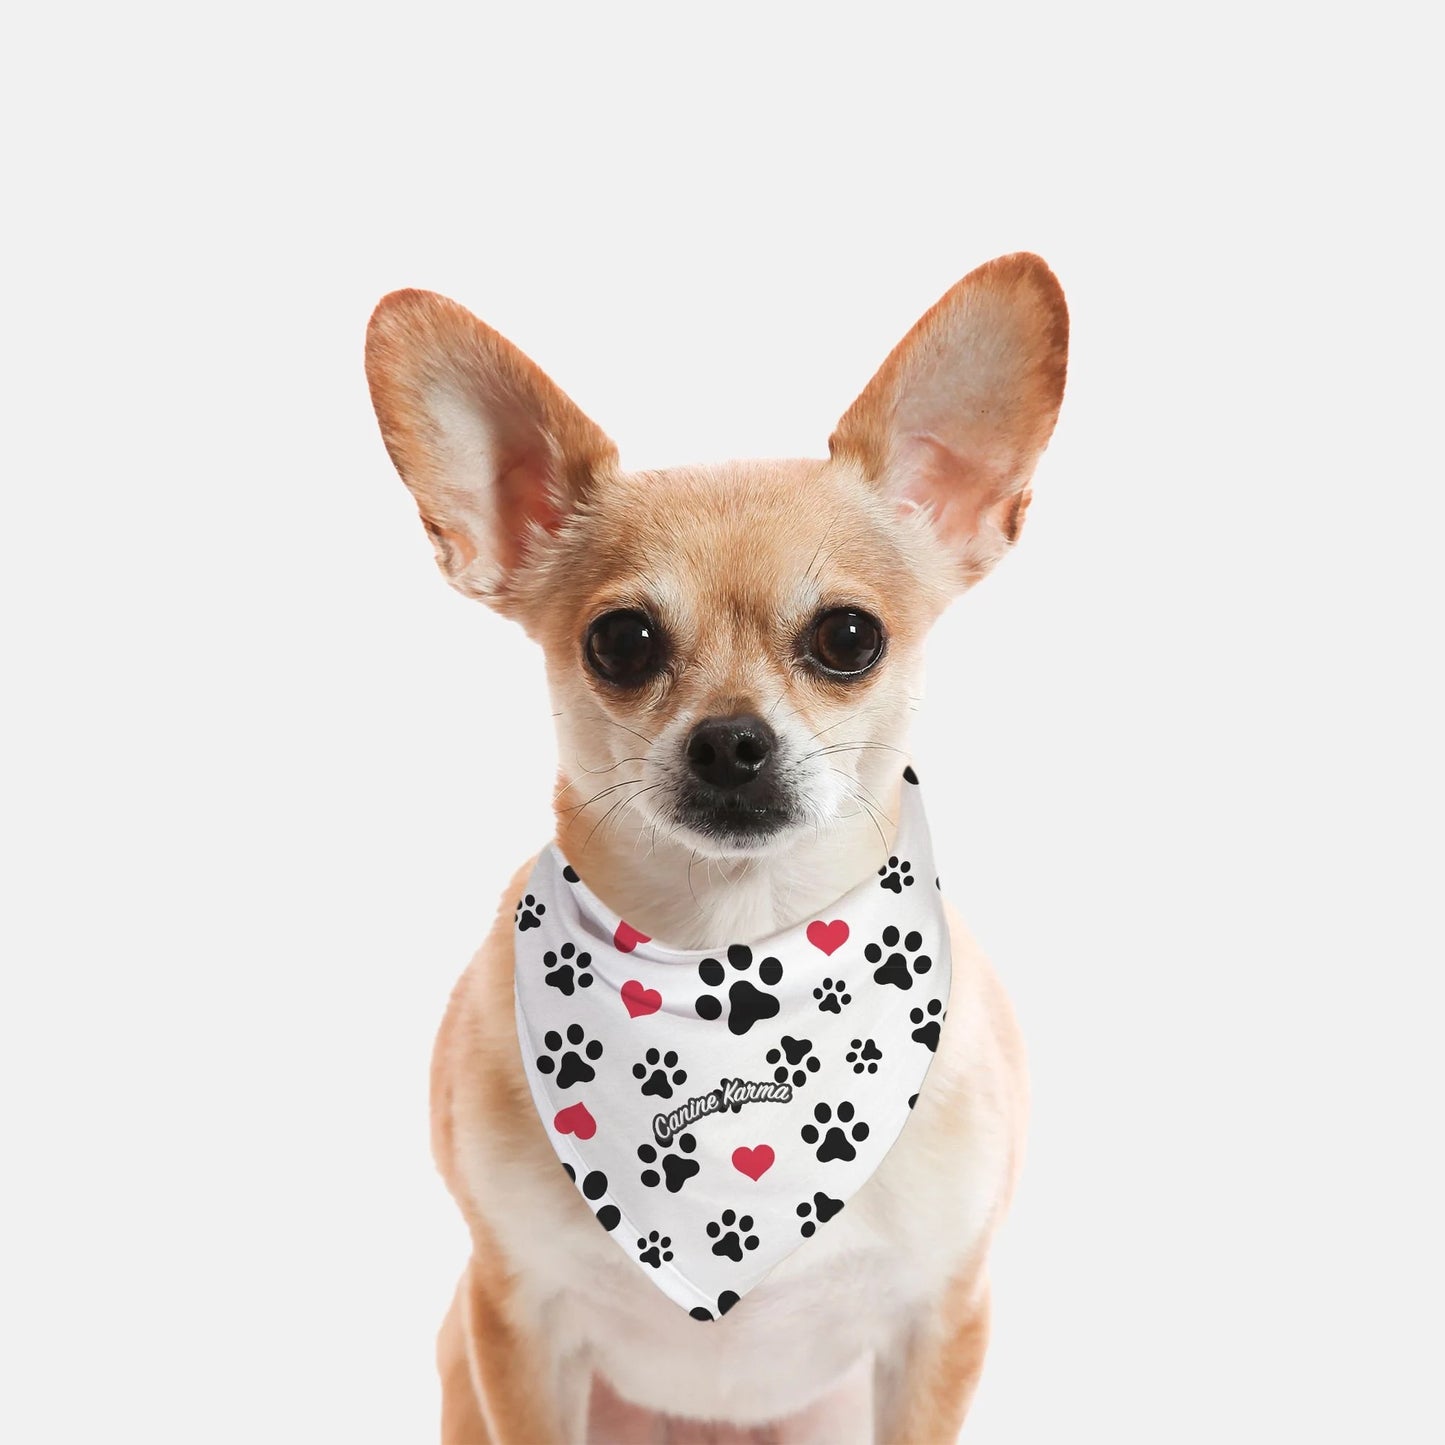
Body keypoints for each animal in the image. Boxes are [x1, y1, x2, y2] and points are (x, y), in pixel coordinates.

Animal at [367, 254, 1069, 1439]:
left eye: (847, 636)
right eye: (621, 640)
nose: (732, 739)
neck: (730, 959)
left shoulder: (939, 1318)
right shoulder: (514, 1320)